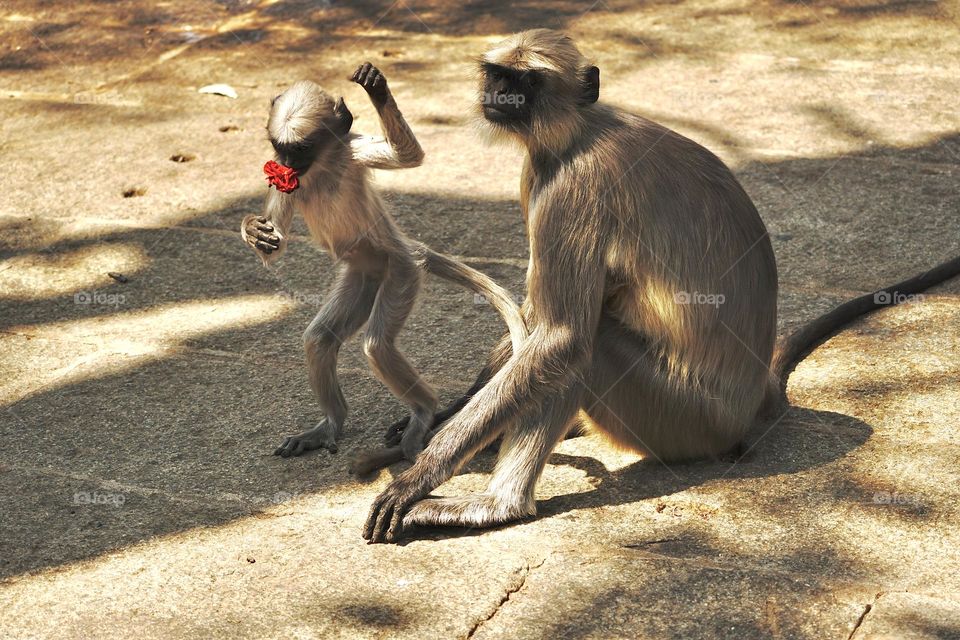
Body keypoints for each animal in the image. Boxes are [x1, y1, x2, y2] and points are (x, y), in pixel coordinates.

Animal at [239, 63, 524, 464]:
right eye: (280, 149)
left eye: (302, 148)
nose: (288, 165)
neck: (320, 169)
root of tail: (398, 249)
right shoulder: (284, 179)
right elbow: (273, 246)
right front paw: (253, 229)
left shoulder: (351, 151)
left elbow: (410, 156)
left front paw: (375, 88)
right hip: (363, 274)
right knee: (319, 339)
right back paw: (331, 423)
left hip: (399, 270)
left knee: (376, 345)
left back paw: (423, 412)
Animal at [362, 28, 960, 540]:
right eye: (498, 75)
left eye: (528, 82)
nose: (500, 97)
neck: (581, 130)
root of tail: (754, 396)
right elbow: (537, 324)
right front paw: (440, 417)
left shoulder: (572, 187)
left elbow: (560, 336)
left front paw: (421, 474)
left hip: (685, 419)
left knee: (588, 343)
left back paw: (498, 505)